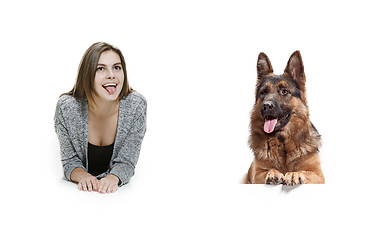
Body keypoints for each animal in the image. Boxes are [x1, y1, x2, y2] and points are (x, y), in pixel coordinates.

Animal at [244, 51, 322, 186]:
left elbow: (304, 172)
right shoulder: (256, 174)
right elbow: (267, 170)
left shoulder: (318, 175)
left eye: (284, 91)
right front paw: (273, 173)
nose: (266, 106)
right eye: (263, 92)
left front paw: (294, 174)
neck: (282, 142)